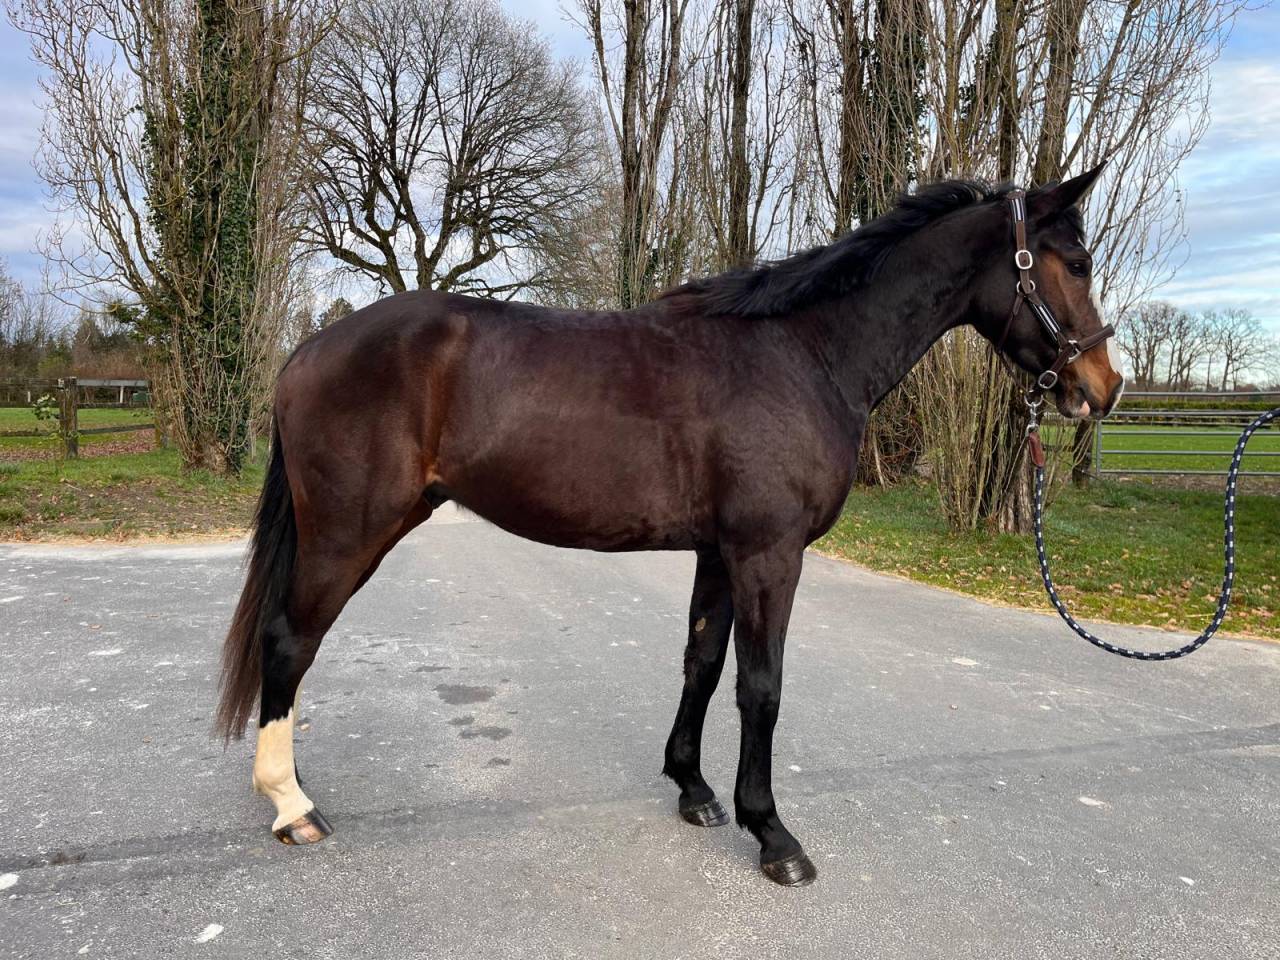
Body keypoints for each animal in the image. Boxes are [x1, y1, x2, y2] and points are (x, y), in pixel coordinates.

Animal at [216, 164, 1123, 886]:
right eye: (1075, 262)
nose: (1101, 387)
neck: (804, 353)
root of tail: (307, 350)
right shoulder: (768, 554)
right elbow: (762, 687)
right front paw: (774, 835)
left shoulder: (719, 554)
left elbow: (703, 664)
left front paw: (693, 789)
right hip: (350, 532)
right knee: (289, 642)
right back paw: (291, 805)